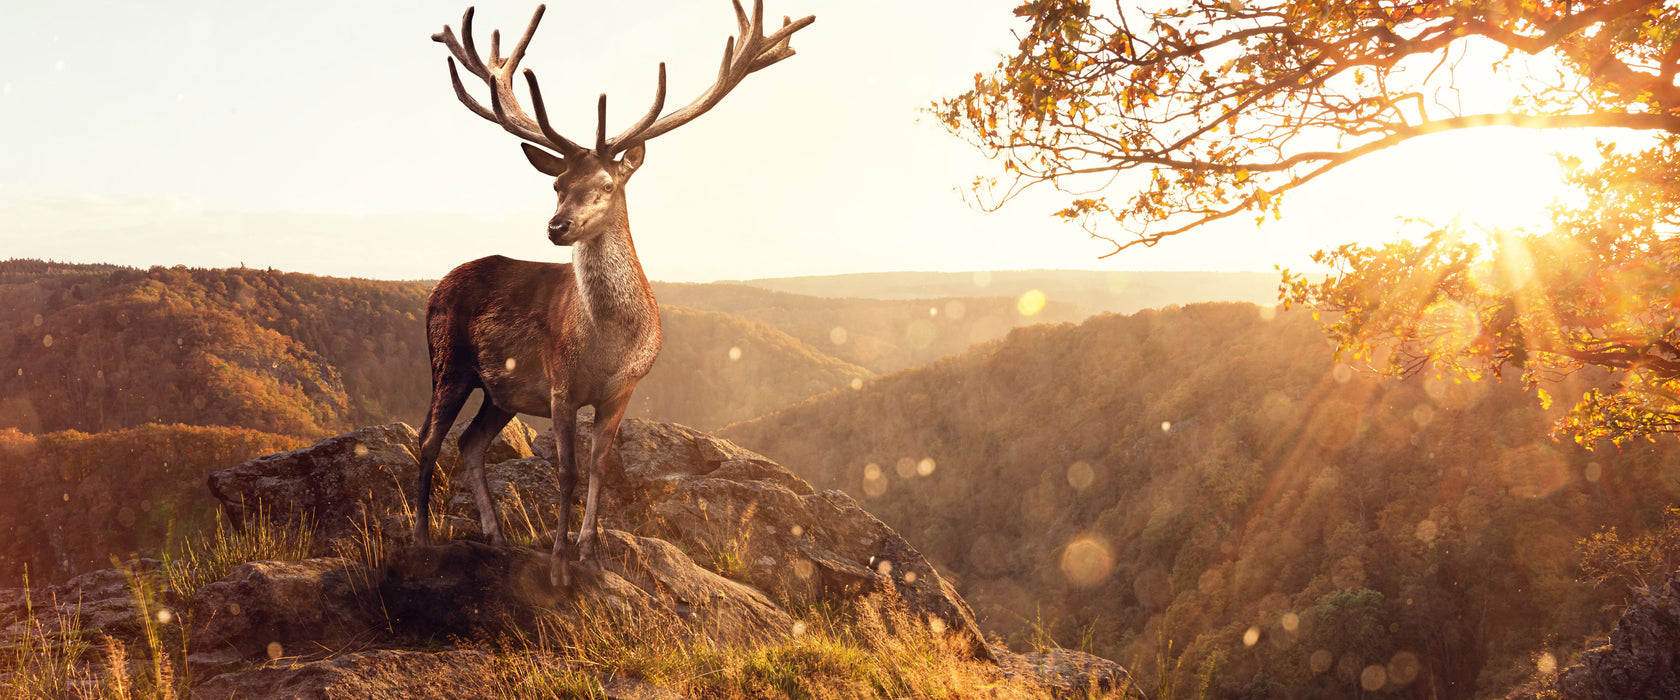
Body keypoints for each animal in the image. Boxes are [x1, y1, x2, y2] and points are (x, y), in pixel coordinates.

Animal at [418, 4, 813, 584]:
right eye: (556, 185)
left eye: (608, 184)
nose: (556, 226)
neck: (608, 345)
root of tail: (436, 288)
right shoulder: (560, 384)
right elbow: (566, 471)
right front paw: (559, 566)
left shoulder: (623, 389)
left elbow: (600, 468)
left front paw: (591, 555)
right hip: (449, 361)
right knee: (429, 441)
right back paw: (420, 540)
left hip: (500, 390)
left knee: (469, 443)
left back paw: (496, 537)